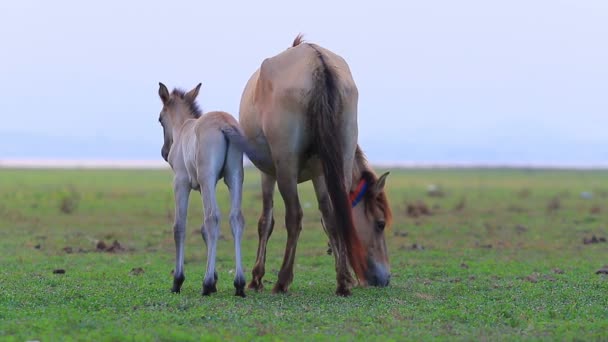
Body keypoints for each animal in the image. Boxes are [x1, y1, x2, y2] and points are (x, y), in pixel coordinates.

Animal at [157, 83, 247, 296]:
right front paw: (215, 279)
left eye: (160, 119)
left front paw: (178, 280)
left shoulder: (181, 182)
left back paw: (206, 284)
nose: (164, 152)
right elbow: (203, 230)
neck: (182, 128)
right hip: (234, 177)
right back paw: (239, 283)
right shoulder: (207, 185)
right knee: (236, 219)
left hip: (207, 177)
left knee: (213, 218)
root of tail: (224, 124)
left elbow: (179, 226)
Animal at [226, 35, 392, 296]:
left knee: (294, 217)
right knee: (337, 213)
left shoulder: (268, 173)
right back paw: (341, 283)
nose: (386, 278)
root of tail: (317, 60)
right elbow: (329, 219)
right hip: (339, 158)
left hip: (286, 167)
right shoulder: (320, 174)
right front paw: (345, 276)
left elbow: (266, 222)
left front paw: (257, 277)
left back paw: (282, 280)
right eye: (380, 224)